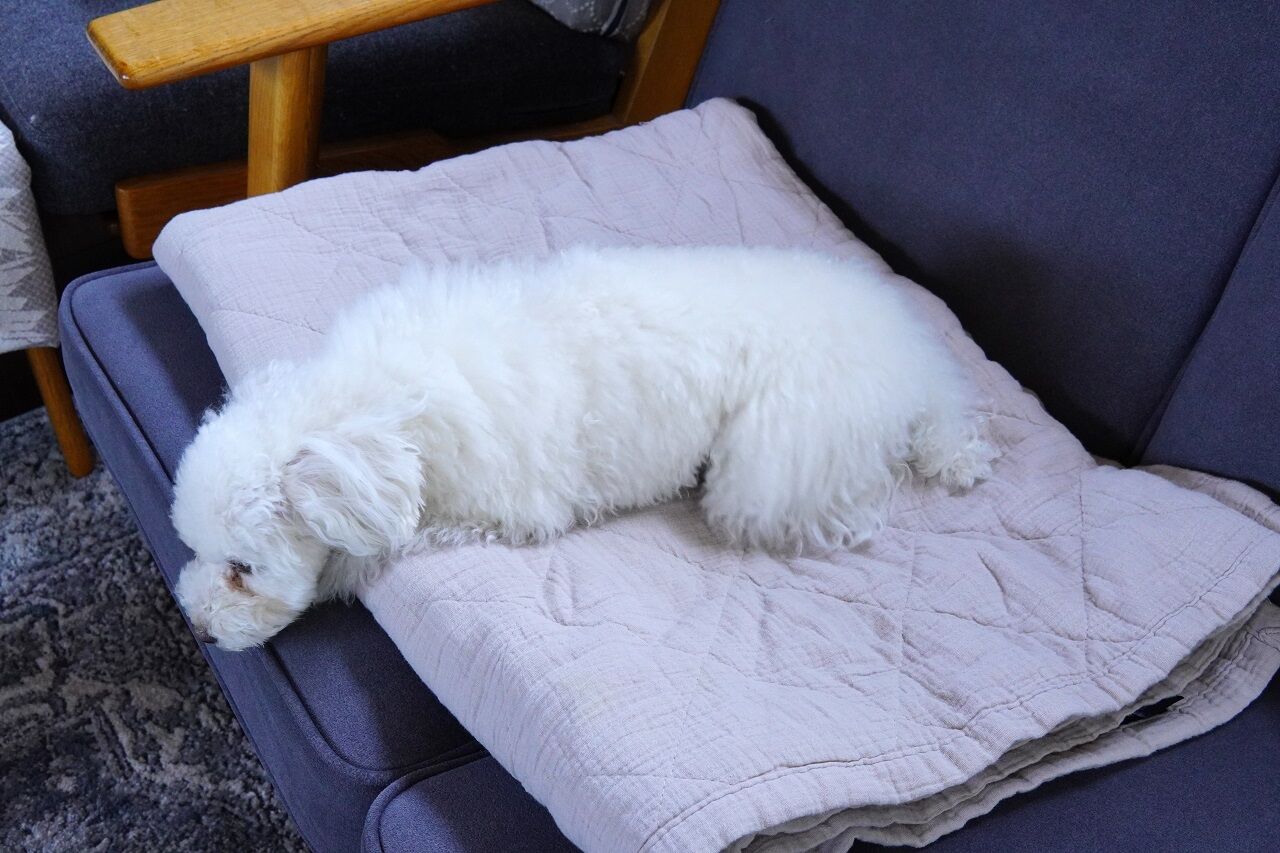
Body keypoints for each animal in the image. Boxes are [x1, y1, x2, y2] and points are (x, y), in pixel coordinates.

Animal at [172, 245, 995, 650]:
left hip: (775, 456)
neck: (382, 402)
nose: (198, 627)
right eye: (198, 553)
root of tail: (916, 361)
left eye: (243, 570)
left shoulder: (508, 503)